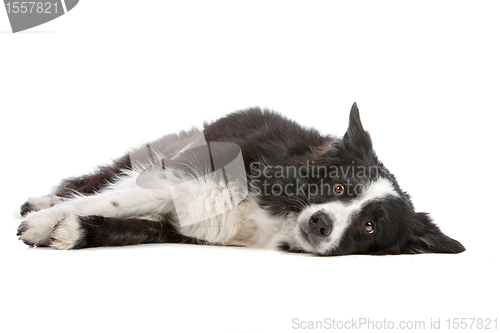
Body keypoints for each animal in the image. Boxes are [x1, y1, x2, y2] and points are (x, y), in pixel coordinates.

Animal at [17, 103, 466, 254]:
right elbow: (109, 200)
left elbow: (129, 225)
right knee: (92, 181)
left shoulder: (184, 227)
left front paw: (71, 230)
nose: (322, 223)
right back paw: (43, 202)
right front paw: (42, 222)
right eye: (339, 187)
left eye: (370, 225)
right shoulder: (179, 177)